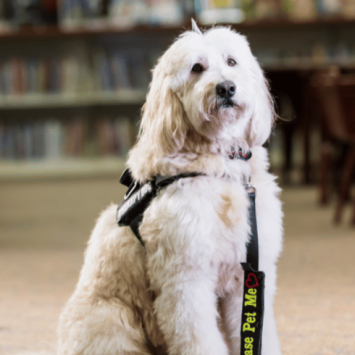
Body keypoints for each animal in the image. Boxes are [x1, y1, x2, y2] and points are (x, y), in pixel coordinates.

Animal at [56, 20, 284, 354]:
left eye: (231, 61)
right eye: (197, 68)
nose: (226, 88)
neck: (218, 164)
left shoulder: (245, 276)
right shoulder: (186, 280)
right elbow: (199, 338)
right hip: (112, 318)